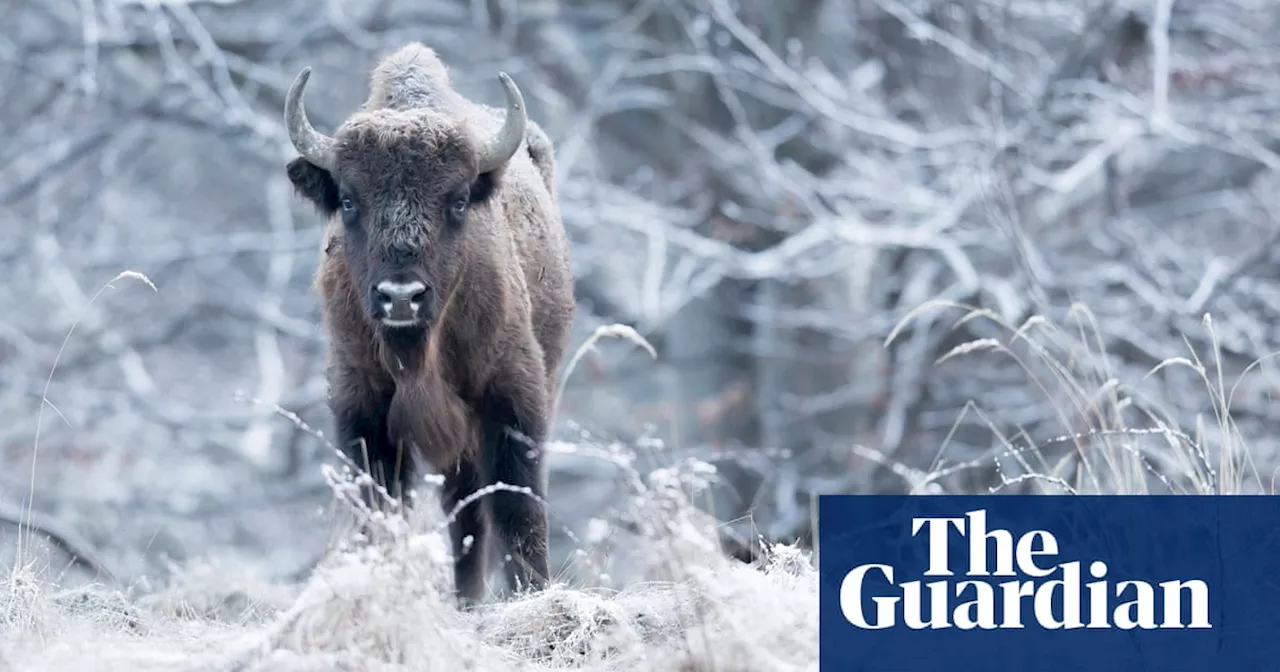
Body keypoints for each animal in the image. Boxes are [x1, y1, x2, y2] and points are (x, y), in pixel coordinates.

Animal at [286, 44, 581, 604]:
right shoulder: (364, 407)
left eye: (458, 200)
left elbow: (517, 507)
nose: (401, 296)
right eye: (349, 200)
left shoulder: (513, 397)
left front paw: (532, 596)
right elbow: (382, 509)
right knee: (463, 513)